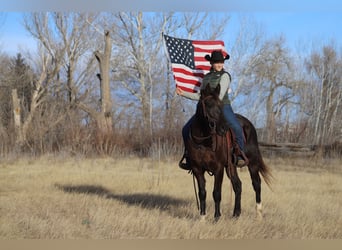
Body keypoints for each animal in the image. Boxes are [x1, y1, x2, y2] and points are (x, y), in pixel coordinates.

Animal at [184, 83, 272, 219]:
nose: (223, 128)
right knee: (238, 185)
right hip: (231, 166)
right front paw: (202, 218)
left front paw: (217, 217)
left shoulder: (218, 168)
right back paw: (236, 214)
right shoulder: (197, 168)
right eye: (208, 104)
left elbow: (216, 193)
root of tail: (249, 124)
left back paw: (259, 214)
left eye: (221, 105)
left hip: (252, 162)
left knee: (256, 183)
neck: (204, 142)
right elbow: (202, 193)